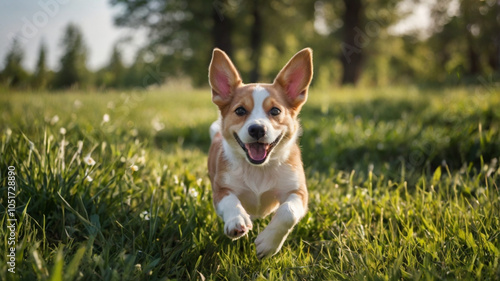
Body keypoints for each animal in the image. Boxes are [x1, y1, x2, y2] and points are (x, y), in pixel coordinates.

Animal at [207, 47, 312, 258]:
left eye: (275, 111)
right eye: (240, 111)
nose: (257, 129)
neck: (259, 169)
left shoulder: (298, 191)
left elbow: (288, 212)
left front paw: (268, 244)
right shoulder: (221, 189)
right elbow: (231, 201)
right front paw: (237, 220)